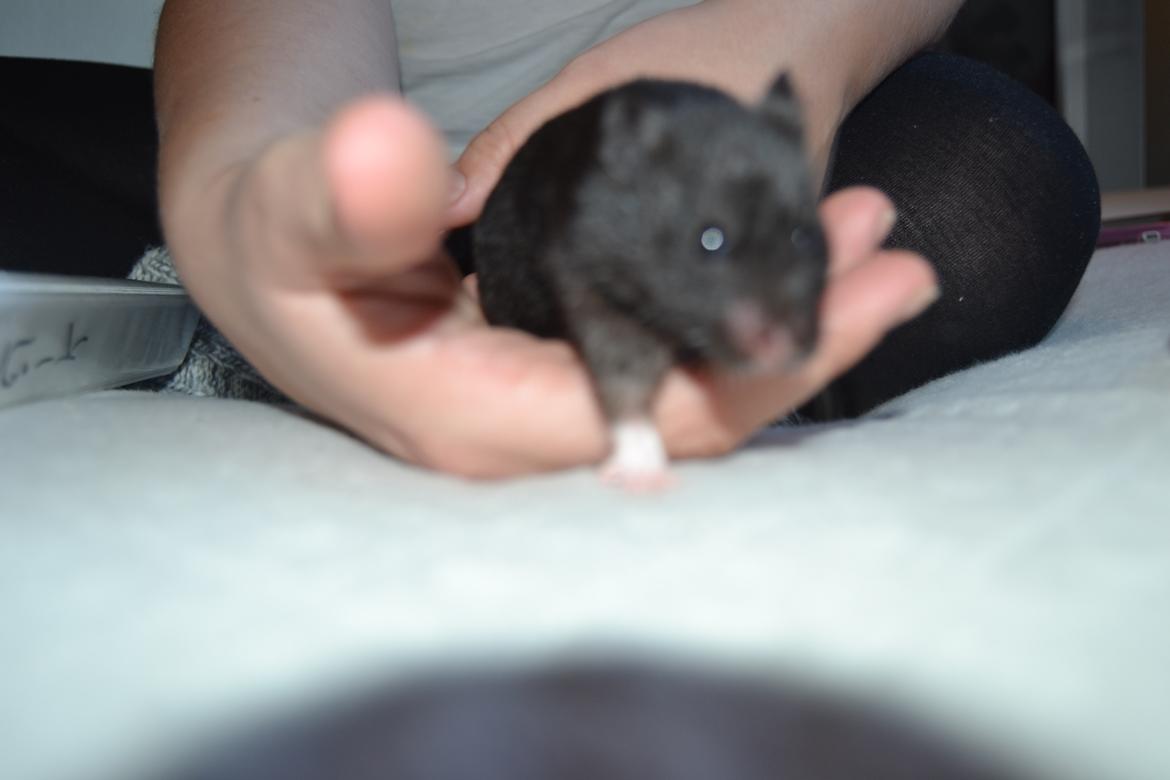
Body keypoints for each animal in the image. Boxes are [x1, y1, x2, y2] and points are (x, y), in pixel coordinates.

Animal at [474, 73, 828, 487]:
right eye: (710, 239)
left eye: (802, 235)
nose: (782, 352)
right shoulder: (590, 284)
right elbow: (624, 375)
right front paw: (641, 470)